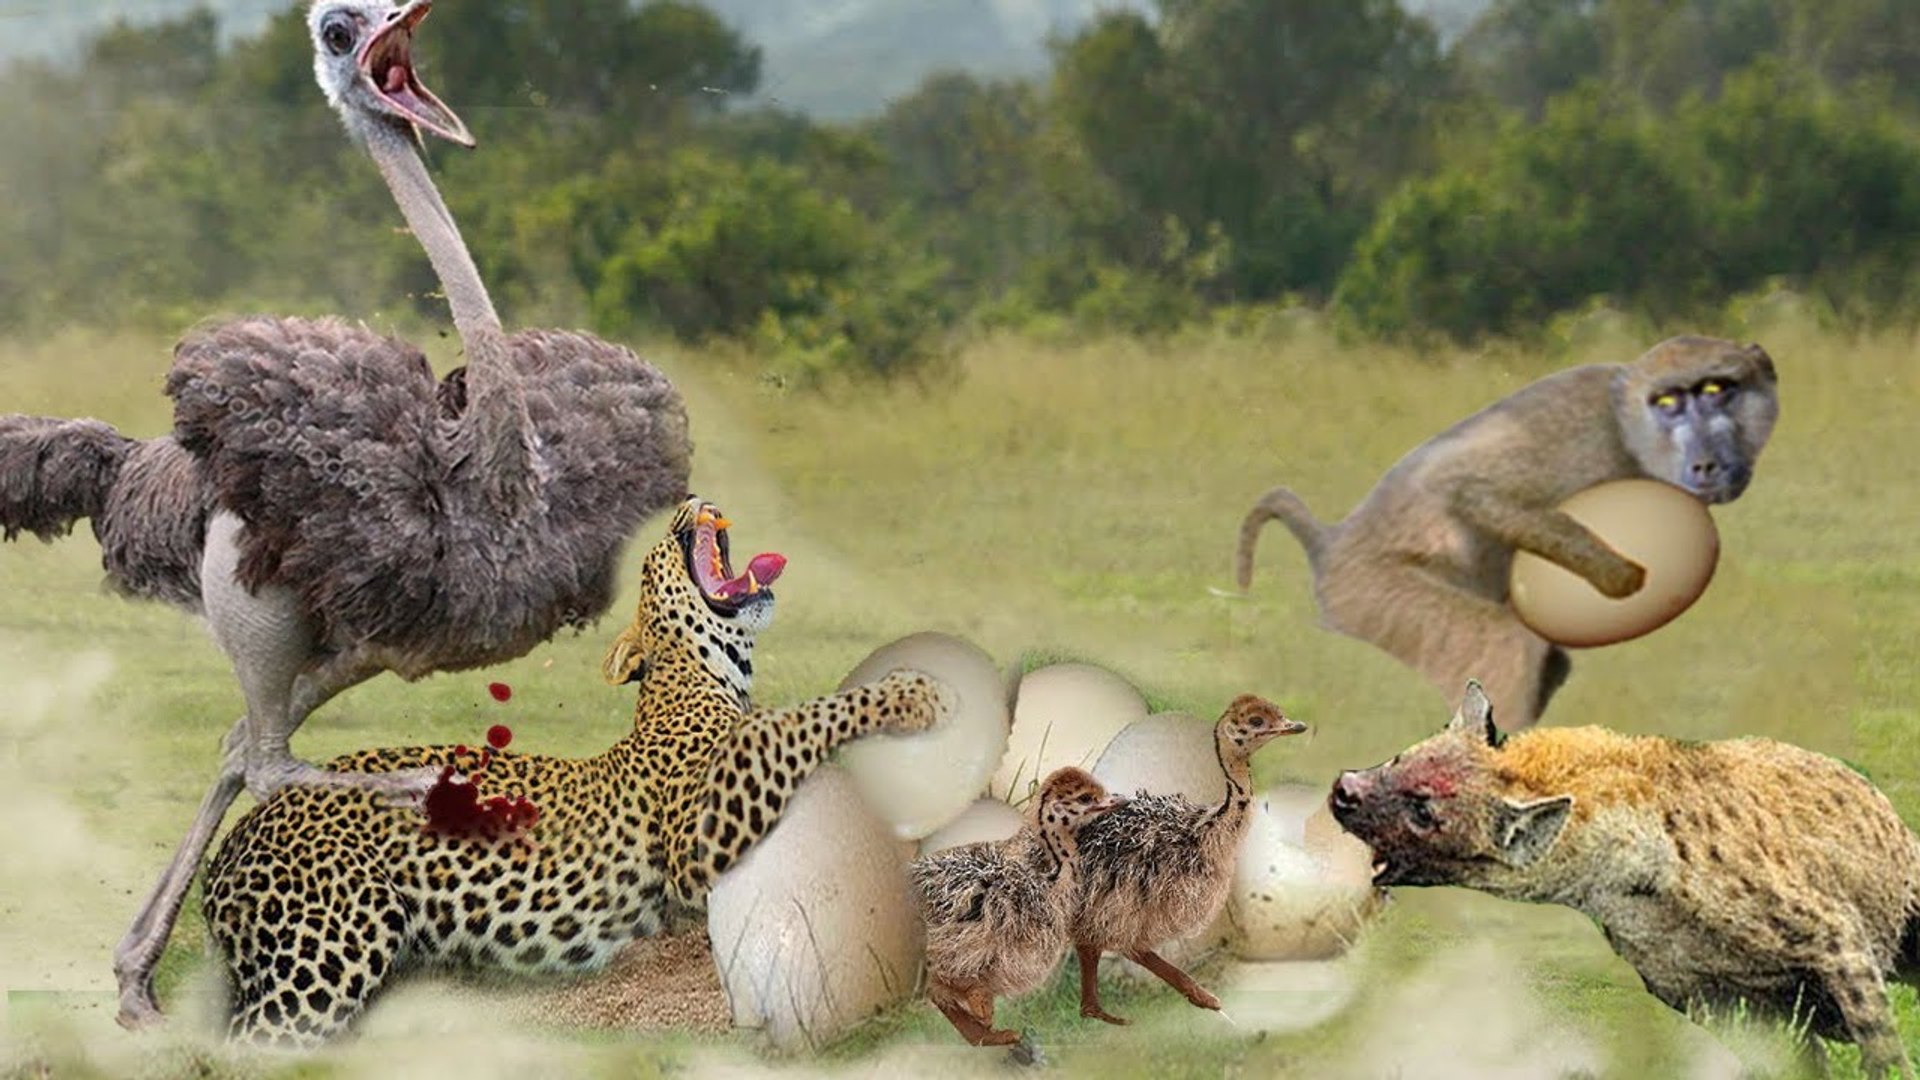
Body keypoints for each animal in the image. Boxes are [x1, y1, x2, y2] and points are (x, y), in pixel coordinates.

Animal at [199, 496, 953, 1047]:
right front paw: (910, 694)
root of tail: (234, 842)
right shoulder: (695, 843)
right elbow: (791, 721)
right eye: (657, 556)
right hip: (328, 950)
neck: (703, 680)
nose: (691, 499)